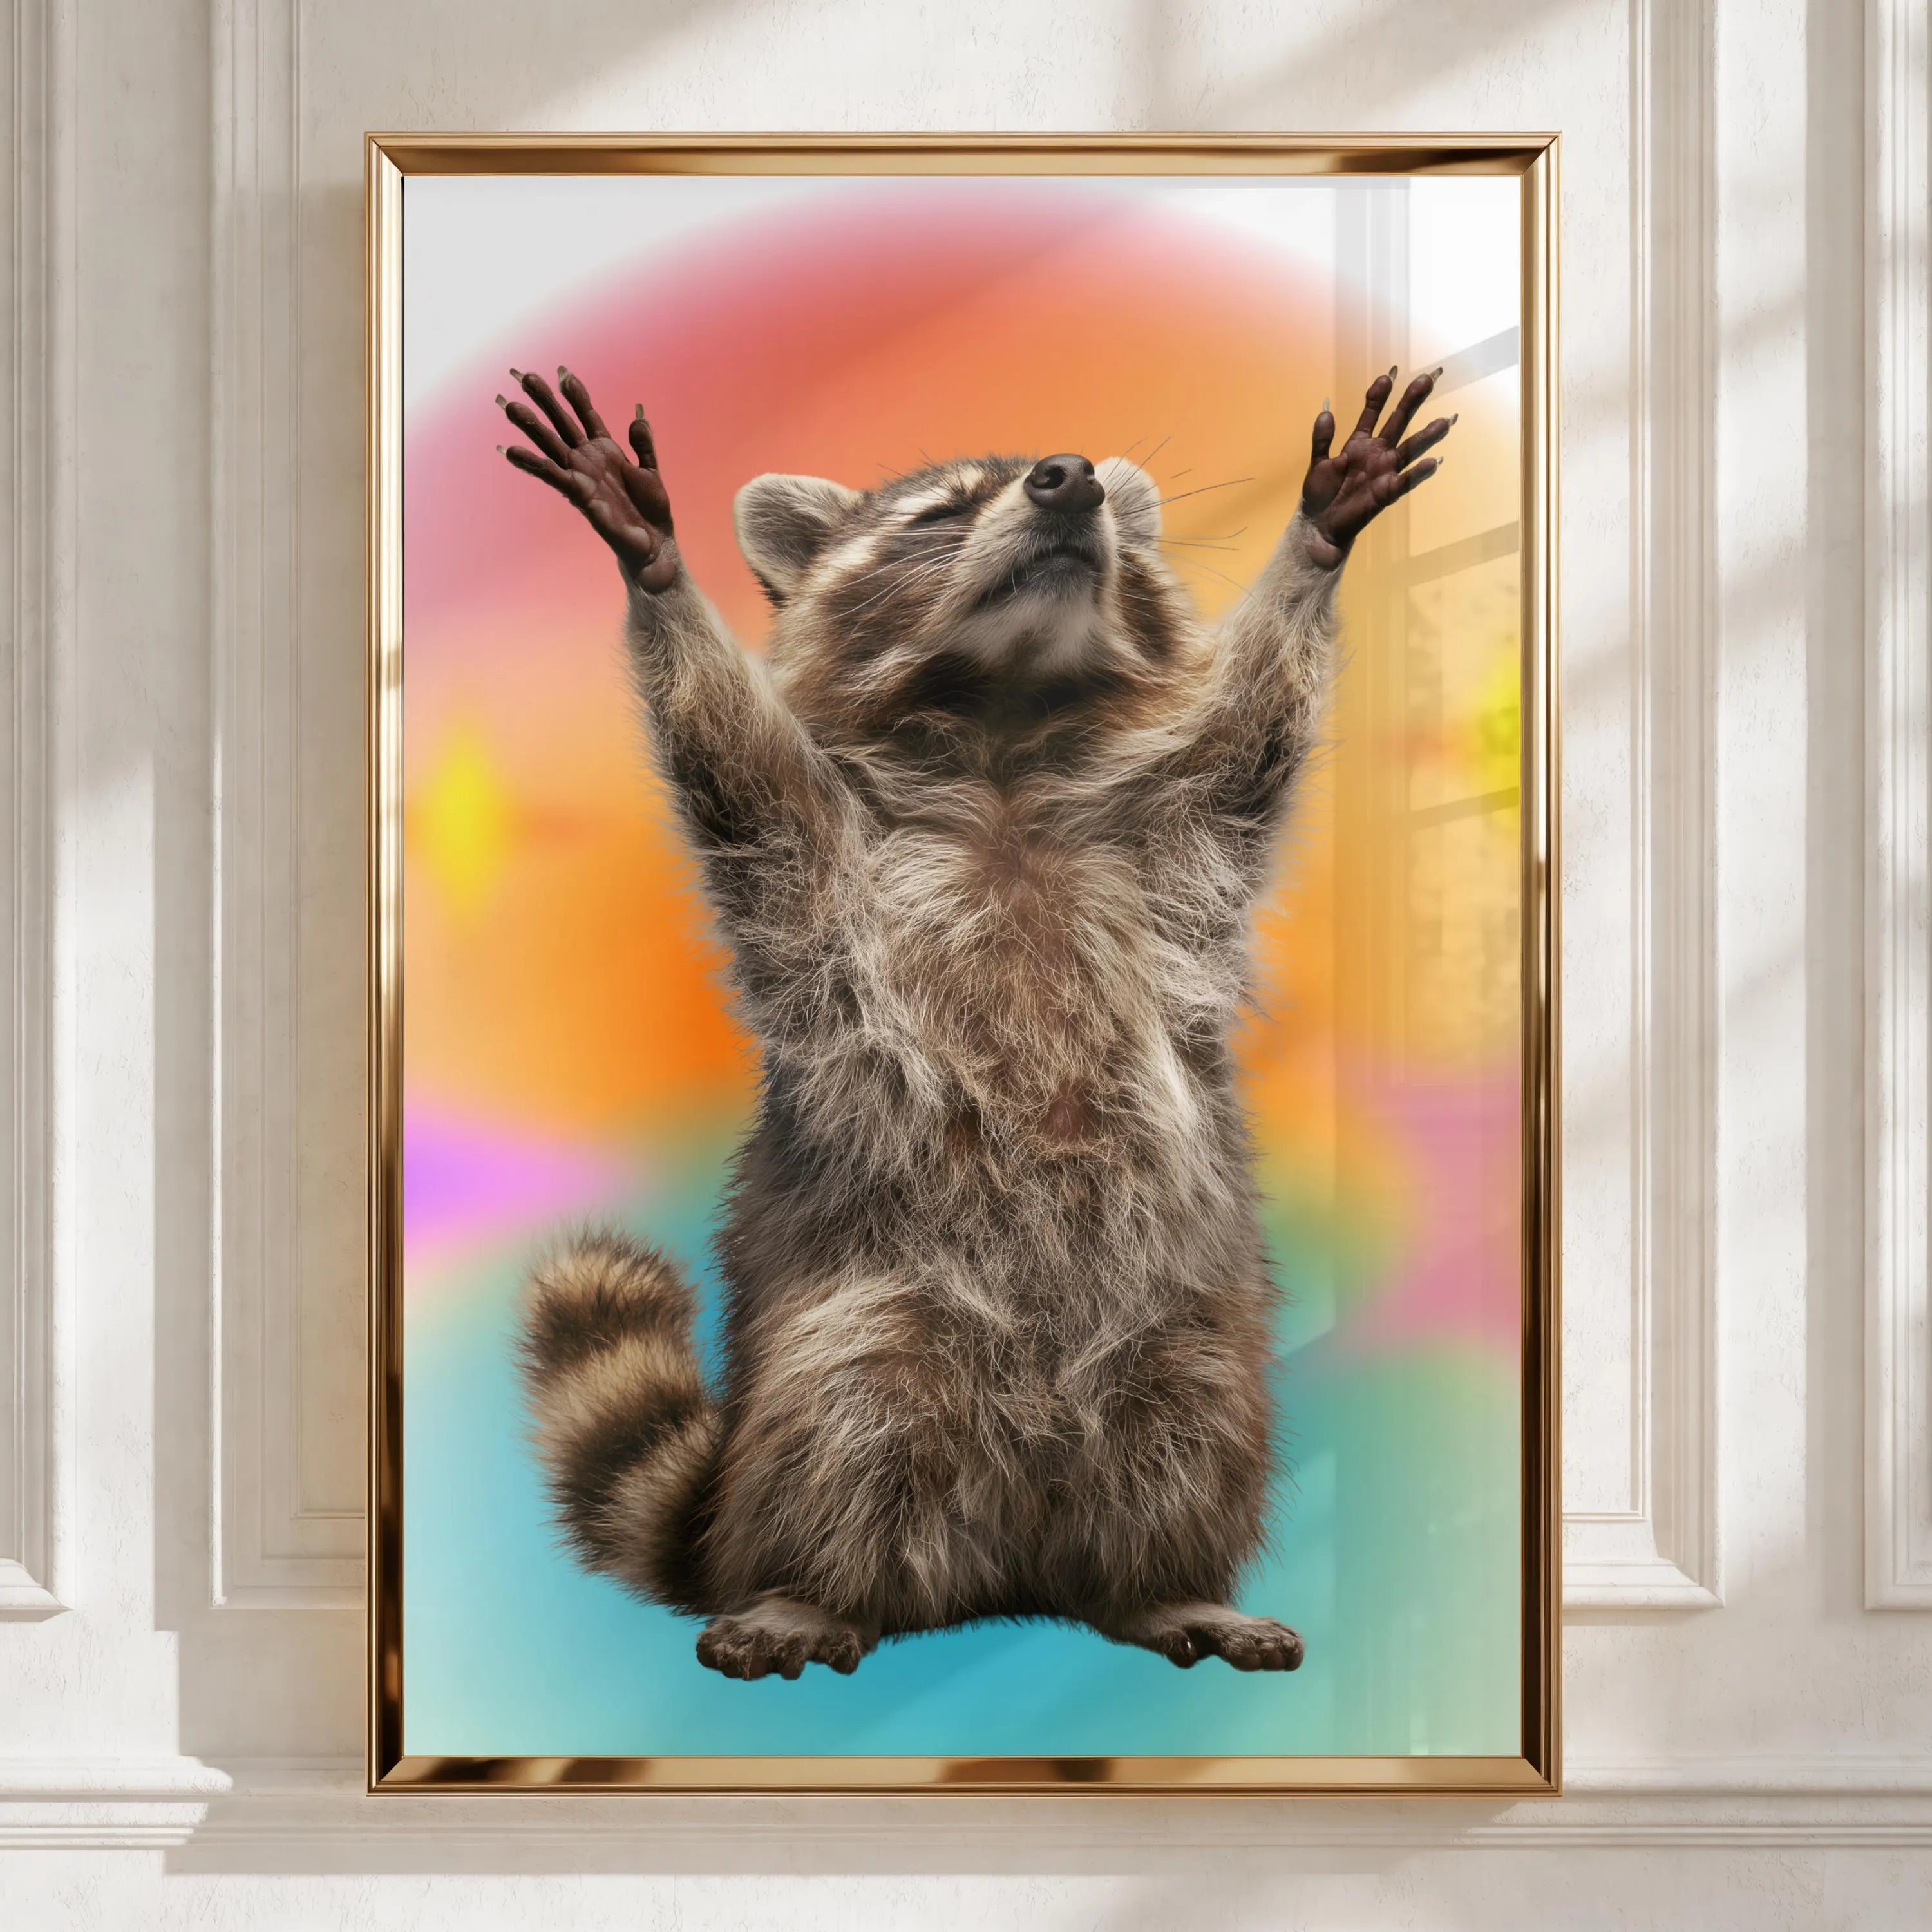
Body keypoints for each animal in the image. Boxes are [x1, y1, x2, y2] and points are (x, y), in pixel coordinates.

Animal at [498, 363, 1452, 1678]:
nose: (1069, 478)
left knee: (1195, 1422)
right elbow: (738, 763)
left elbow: (1251, 731)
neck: (1007, 726)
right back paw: (817, 1589)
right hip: (871, 1317)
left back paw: (1164, 1587)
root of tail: (1010, 1564)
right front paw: (655, 567)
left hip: (1186, 1324)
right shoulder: (824, 869)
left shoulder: (1175, 841)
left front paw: (1316, 543)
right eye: (944, 512)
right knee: (849, 1415)